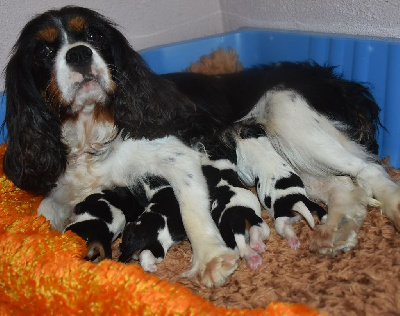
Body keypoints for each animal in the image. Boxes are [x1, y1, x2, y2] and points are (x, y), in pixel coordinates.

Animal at [3, 4, 400, 286]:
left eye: (94, 36)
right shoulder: (62, 193)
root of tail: (342, 82)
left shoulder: (179, 157)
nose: (79, 54)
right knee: (342, 186)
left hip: (287, 109)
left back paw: (390, 207)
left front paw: (210, 259)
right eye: (43, 51)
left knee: (368, 169)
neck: (93, 129)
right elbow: (47, 212)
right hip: (291, 158)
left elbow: (193, 211)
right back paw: (334, 232)